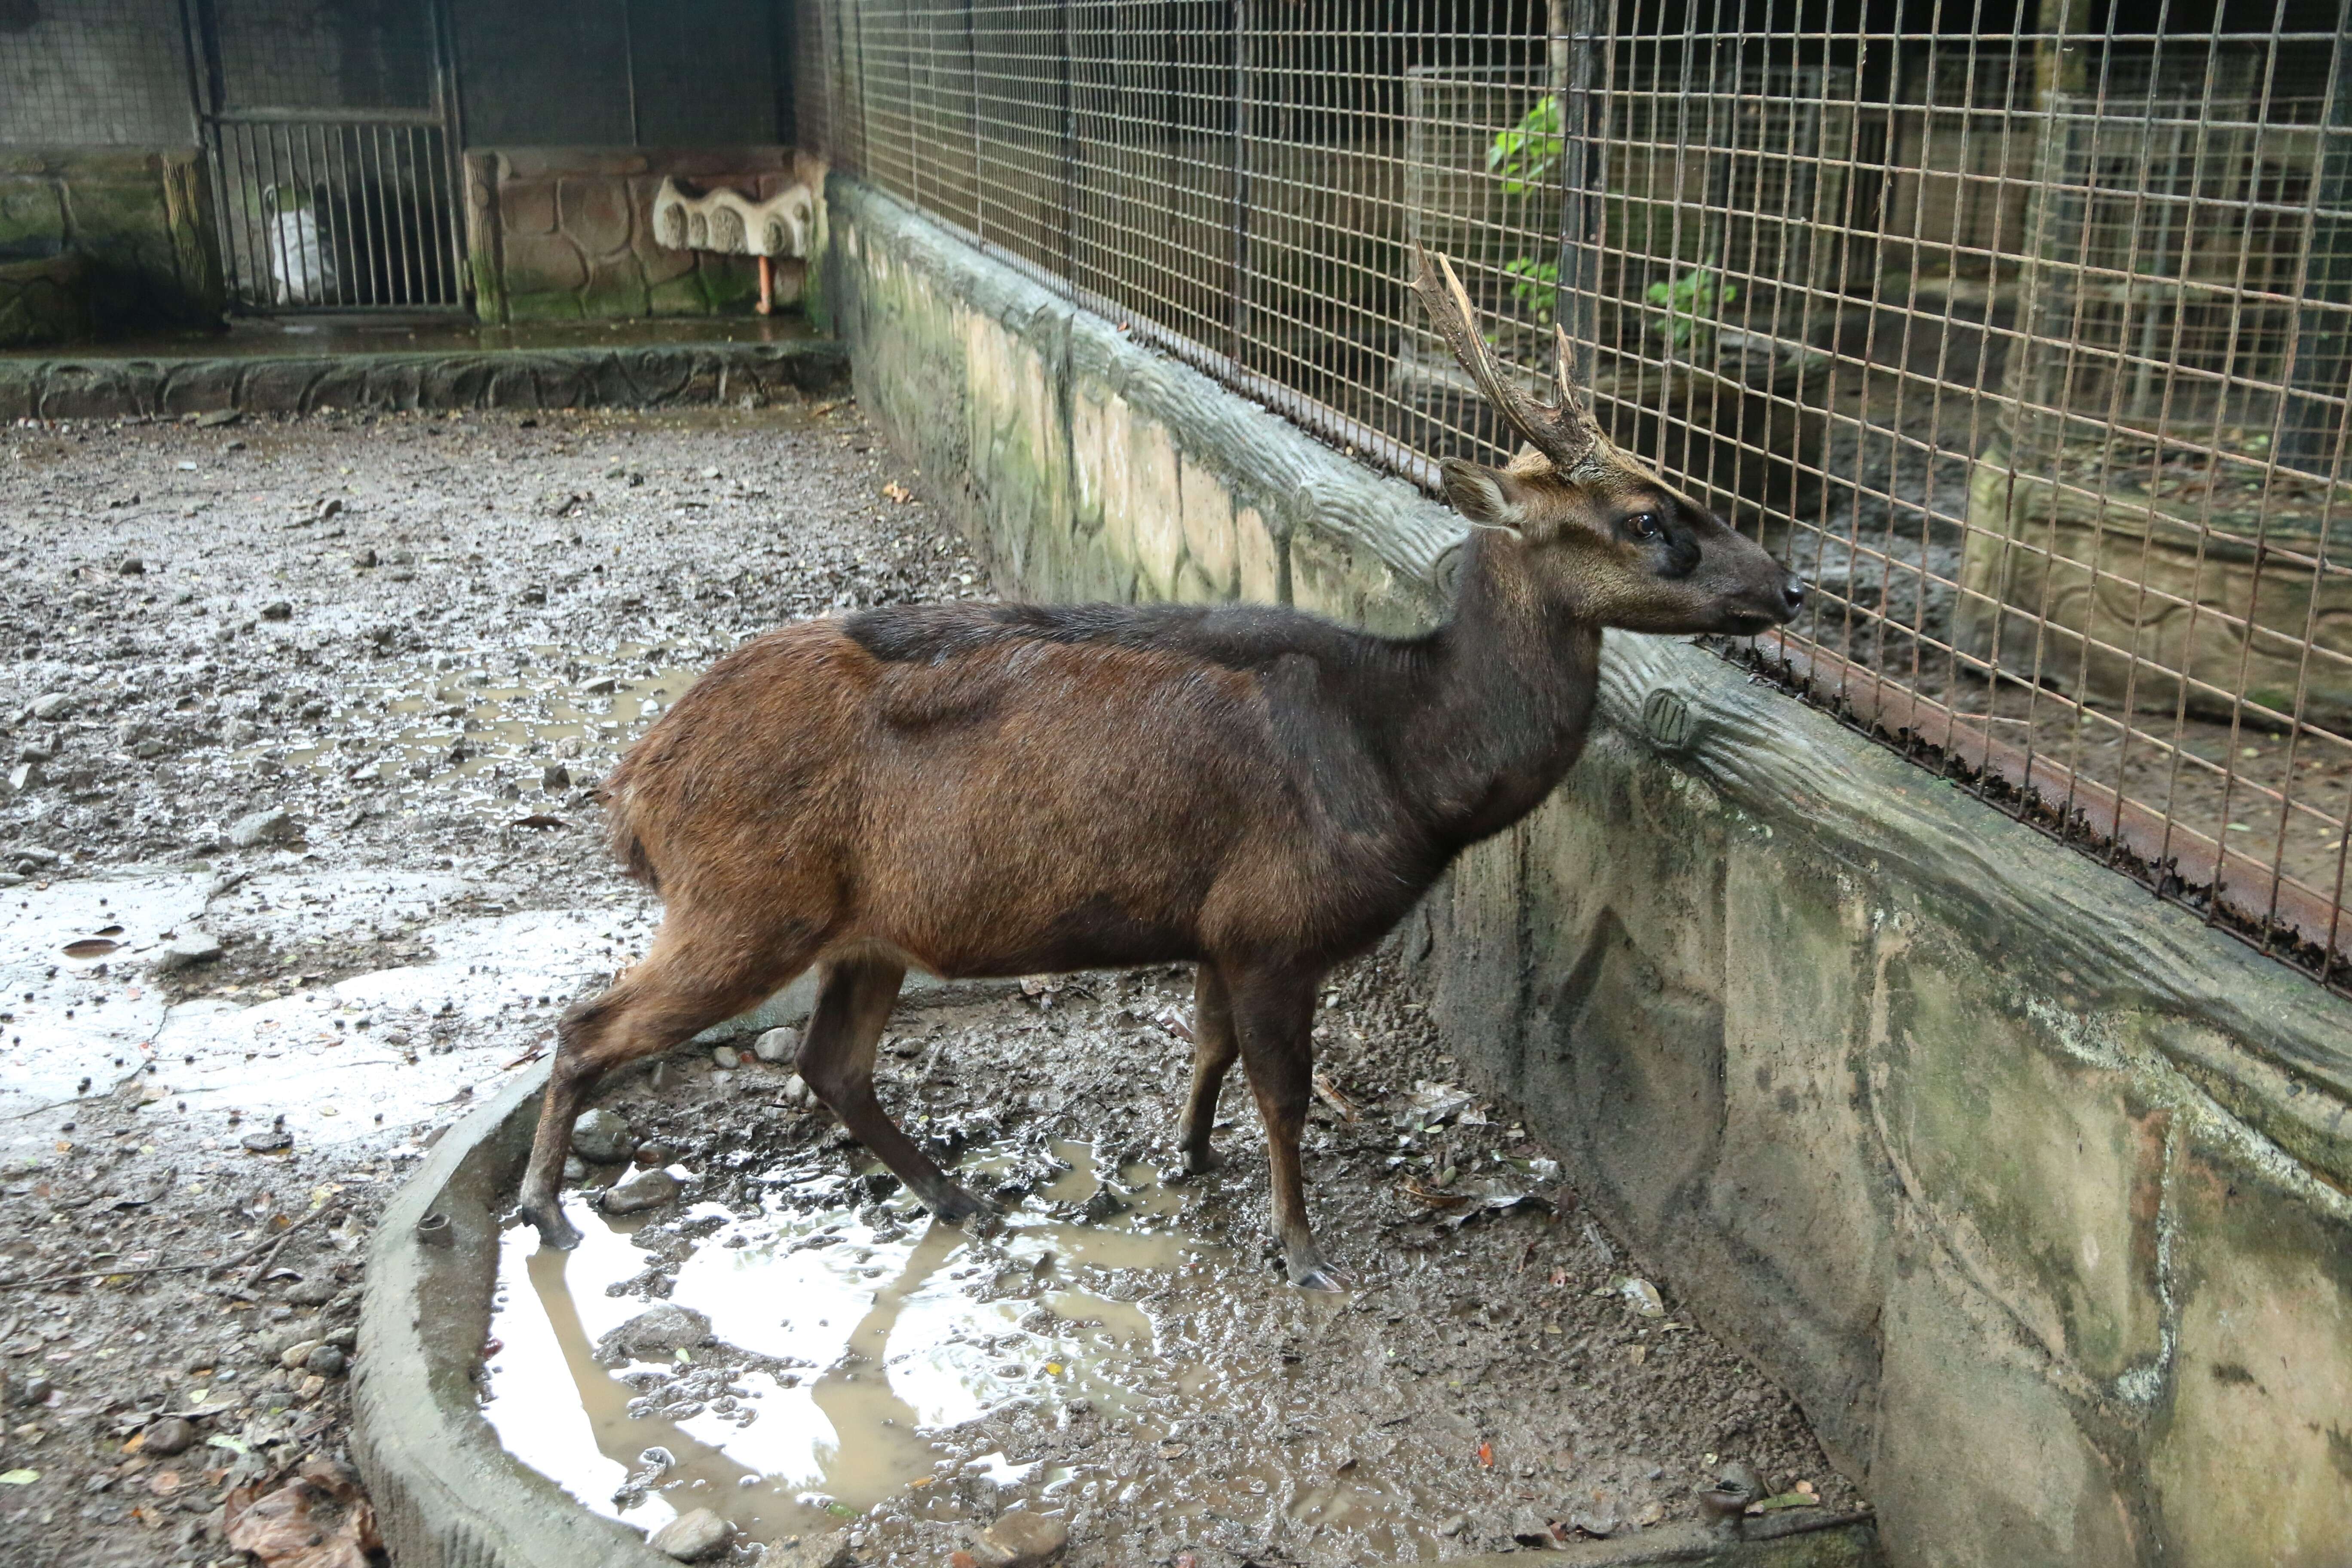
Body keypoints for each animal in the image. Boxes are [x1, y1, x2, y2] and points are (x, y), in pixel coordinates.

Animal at [515, 251, 1797, 1298]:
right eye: (1648, 519)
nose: (1785, 586)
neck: (1404, 761)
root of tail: (635, 789)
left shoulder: (1216, 923)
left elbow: (1207, 1048)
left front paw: (1182, 1155)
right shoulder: (1277, 917)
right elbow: (1284, 1087)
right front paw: (1301, 1247)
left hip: (865, 928)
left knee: (832, 1066)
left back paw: (956, 1195)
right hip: (743, 901)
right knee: (588, 1024)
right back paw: (545, 1212)